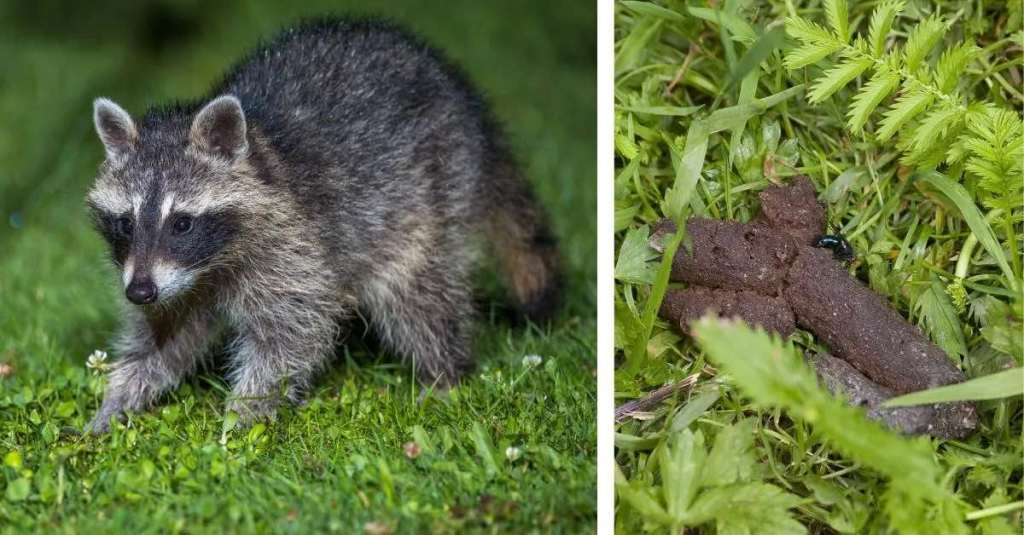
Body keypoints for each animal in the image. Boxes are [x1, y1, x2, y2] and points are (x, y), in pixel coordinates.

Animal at [83, 18, 565, 430]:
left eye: (181, 223)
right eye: (124, 223)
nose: (138, 292)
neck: (211, 263)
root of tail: (467, 102)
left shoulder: (292, 248)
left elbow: (291, 336)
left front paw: (241, 422)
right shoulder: (169, 277)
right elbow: (162, 336)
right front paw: (118, 400)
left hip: (434, 186)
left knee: (417, 293)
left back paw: (445, 374)